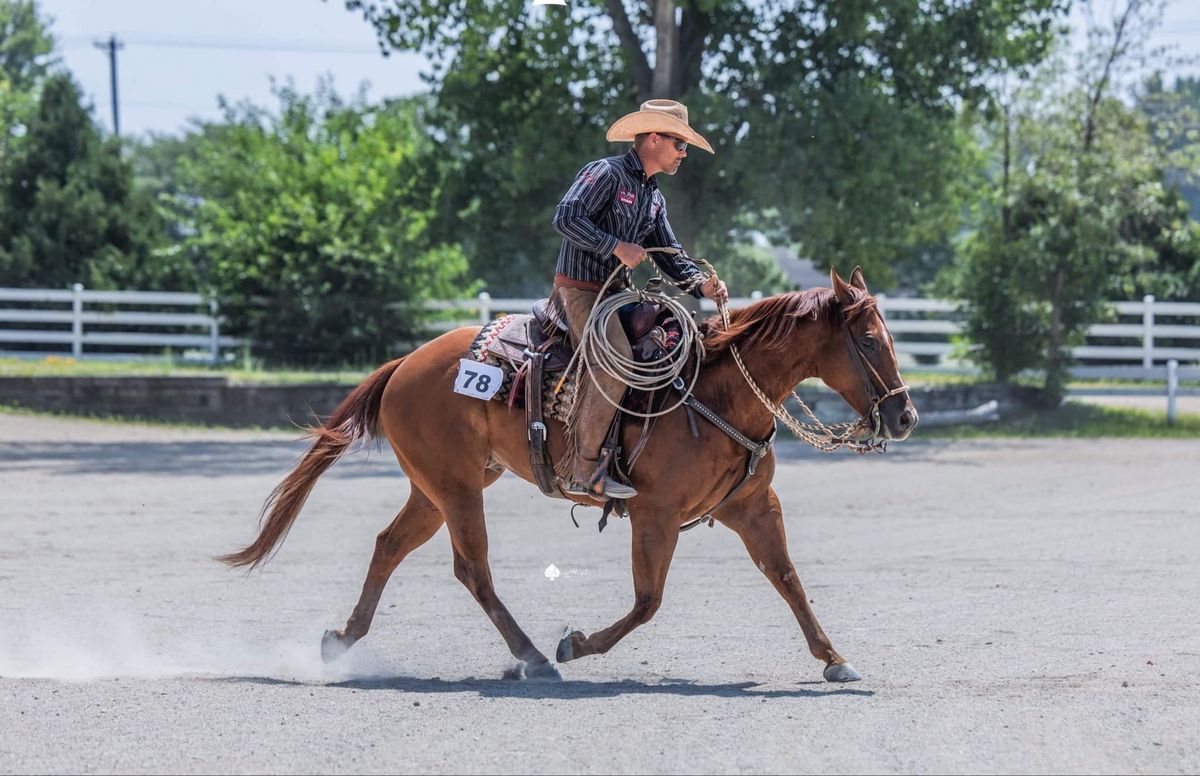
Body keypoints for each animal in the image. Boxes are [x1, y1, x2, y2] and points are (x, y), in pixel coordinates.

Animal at [220, 265, 916, 681]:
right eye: (869, 340)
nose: (905, 415)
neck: (715, 392)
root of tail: (405, 364)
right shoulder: (655, 514)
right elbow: (647, 602)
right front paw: (574, 644)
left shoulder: (754, 508)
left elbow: (789, 580)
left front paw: (835, 659)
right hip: (456, 489)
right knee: (472, 568)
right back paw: (532, 657)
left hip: (438, 486)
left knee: (389, 545)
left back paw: (342, 640)